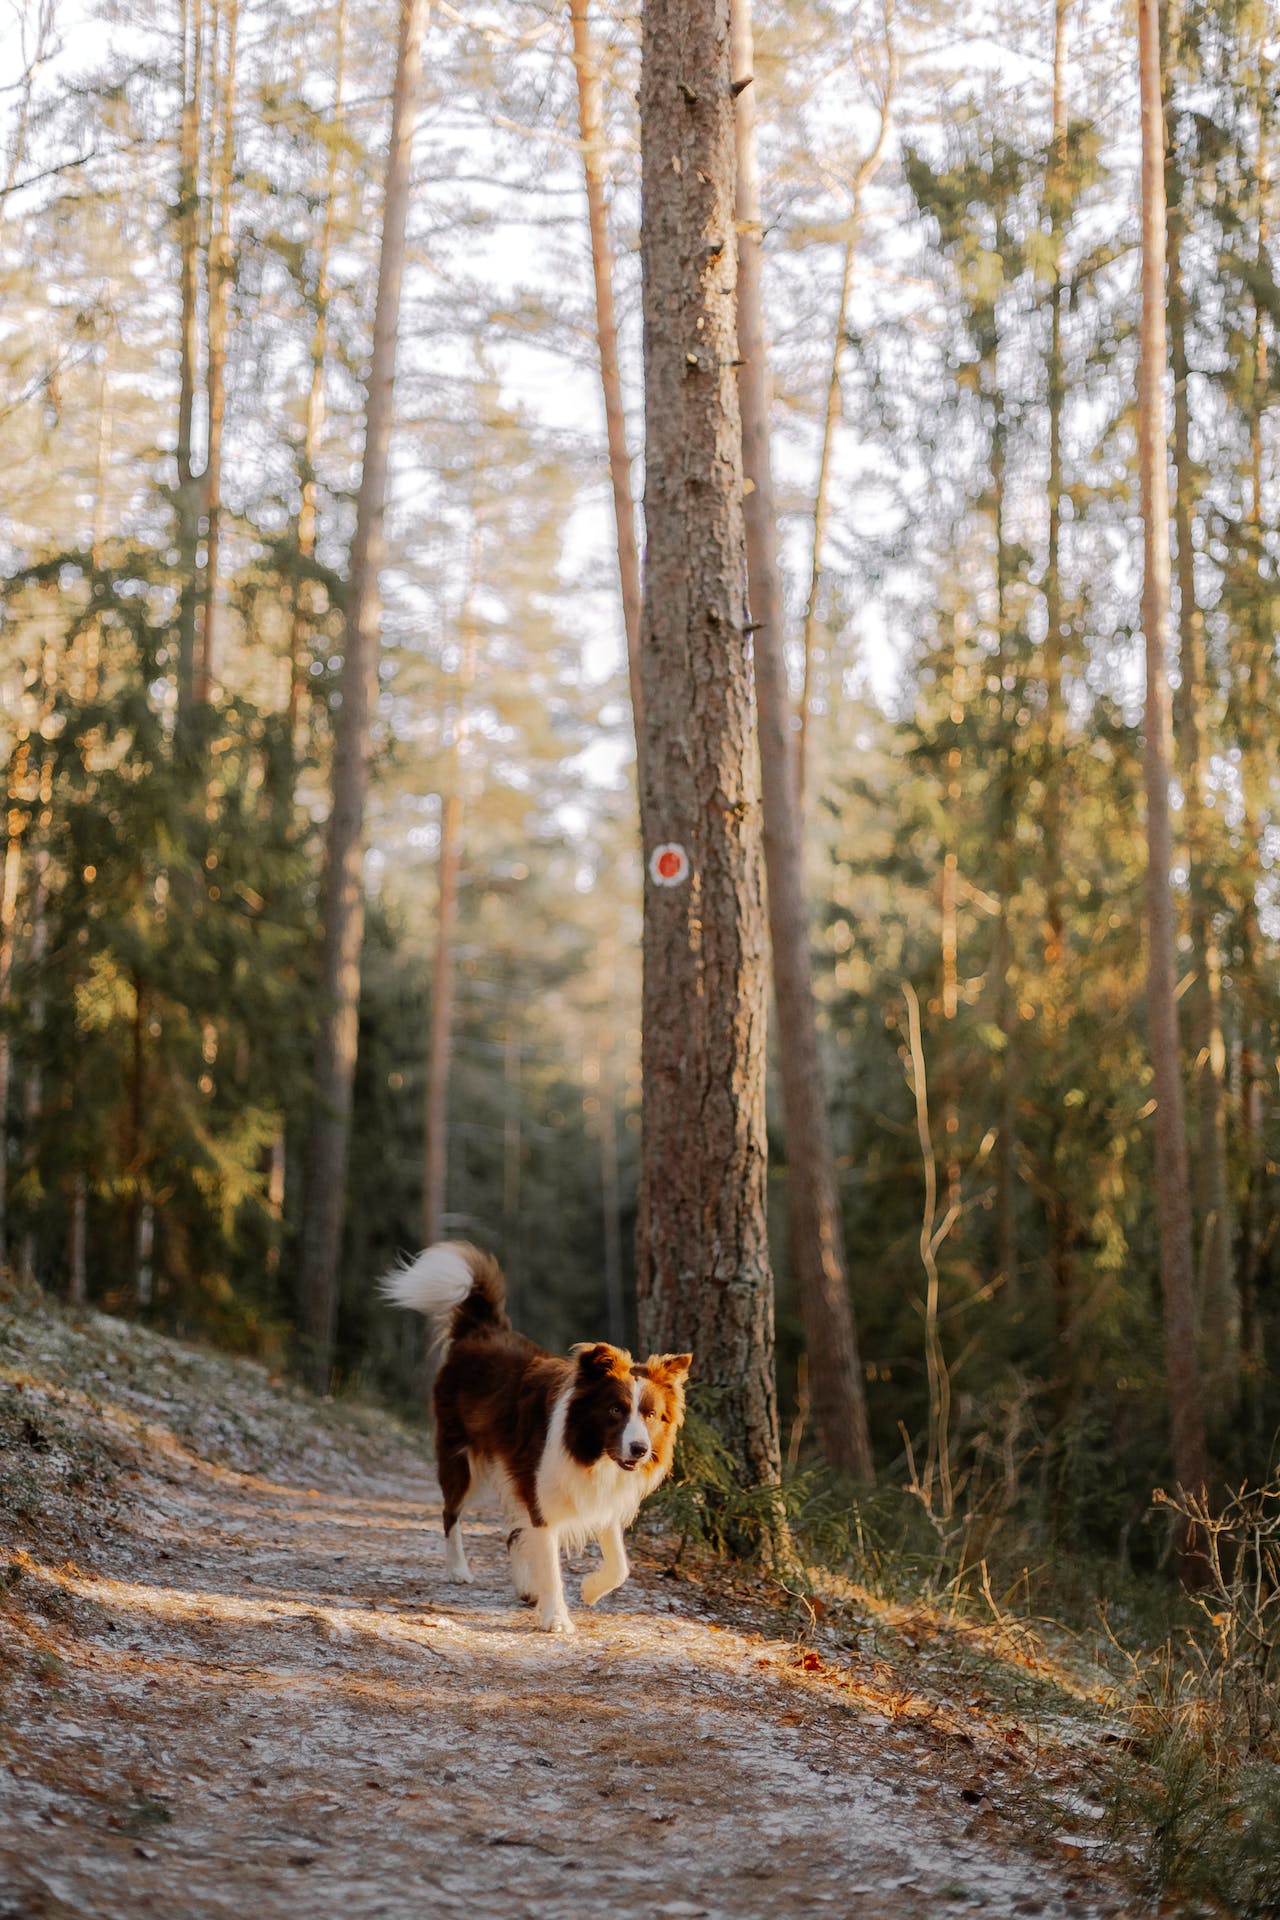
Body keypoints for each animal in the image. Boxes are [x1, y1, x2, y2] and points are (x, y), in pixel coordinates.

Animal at [383, 1244, 690, 1635]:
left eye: (650, 1414)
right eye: (615, 1410)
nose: (639, 1450)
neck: (591, 1450)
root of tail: (482, 1329)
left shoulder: (595, 1494)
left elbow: (620, 1565)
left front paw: (590, 1589)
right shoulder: (543, 1500)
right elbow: (551, 1562)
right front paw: (557, 1617)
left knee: (512, 1530)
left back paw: (525, 1587)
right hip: (460, 1455)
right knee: (450, 1512)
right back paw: (458, 1570)